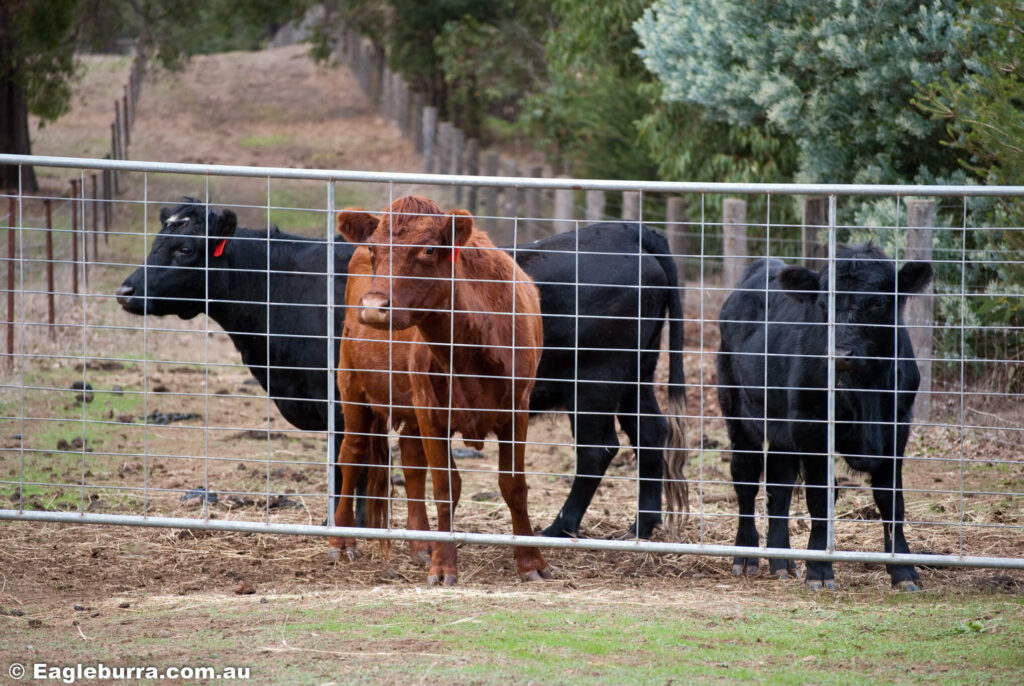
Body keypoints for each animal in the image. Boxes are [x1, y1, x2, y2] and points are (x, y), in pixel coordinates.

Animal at [121, 198, 688, 544]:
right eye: (156, 241)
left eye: (185, 248)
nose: (127, 290)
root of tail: (625, 231)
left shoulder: (340, 400)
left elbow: (345, 464)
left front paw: (339, 525)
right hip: (635, 376)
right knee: (652, 433)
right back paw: (643, 525)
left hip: (594, 381)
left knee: (598, 450)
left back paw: (557, 529)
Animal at [331, 193, 548, 585]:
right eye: (373, 247)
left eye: (429, 249)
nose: (373, 308)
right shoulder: (432, 412)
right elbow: (446, 487)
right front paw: (444, 564)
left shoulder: (517, 408)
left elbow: (514, 485)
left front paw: (530, 561)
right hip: (351, 382)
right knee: (352, 453)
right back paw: (342, 541)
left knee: (411, 460)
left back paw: (421, 545)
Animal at [716, 245, 933, 589]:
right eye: (822, 305)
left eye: (879, 302)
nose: (840, 354)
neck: (865, 389)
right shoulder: (813, 429)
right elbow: (820, 498)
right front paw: (819, 570)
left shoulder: (897, 428)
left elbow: (891, 501)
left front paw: (902, 570)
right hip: (737, 410)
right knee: (746, 478)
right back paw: (746, 554)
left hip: (782, 430)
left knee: (779, 484)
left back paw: (781, 561)